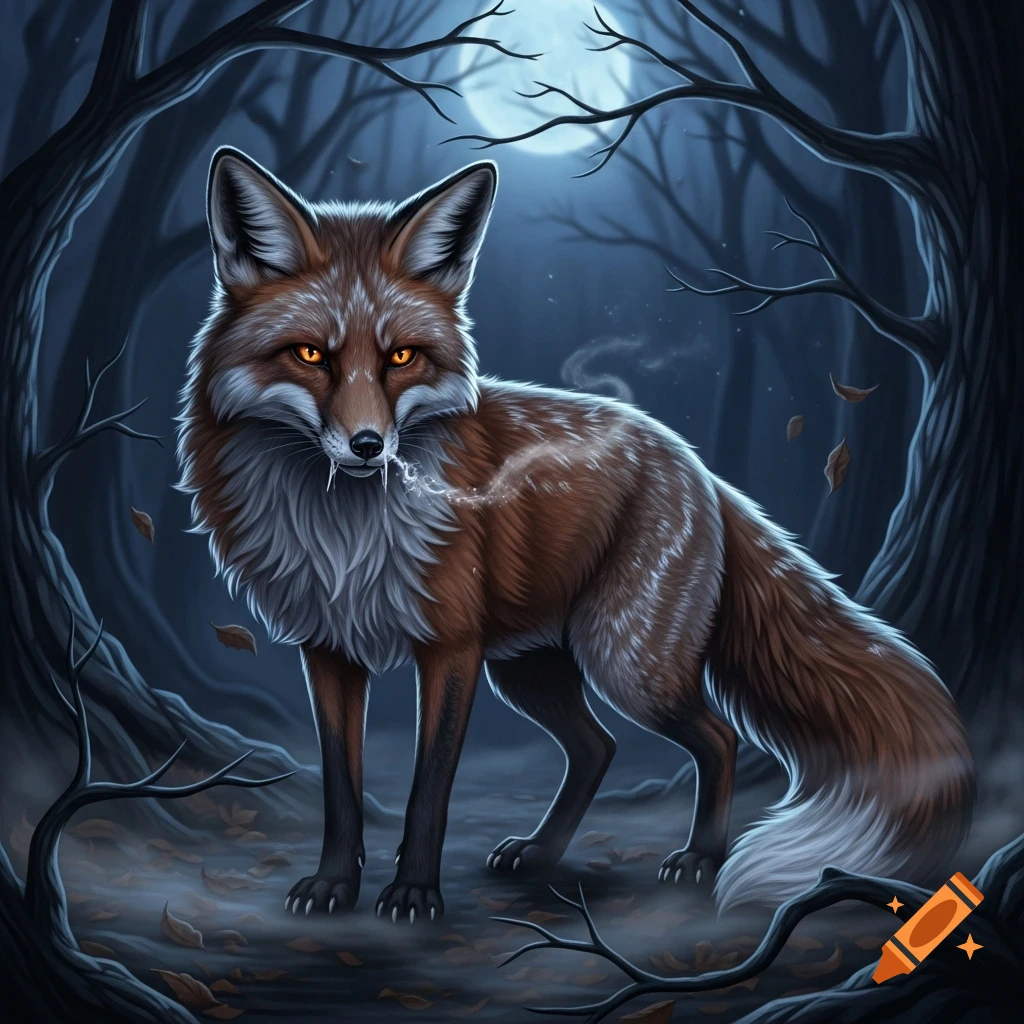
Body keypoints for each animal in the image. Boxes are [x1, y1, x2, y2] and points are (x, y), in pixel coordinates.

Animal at [177, 146, 974, 924]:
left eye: (401, 358)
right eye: (311, 355)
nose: (369, 446)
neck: (343, 536)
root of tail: (698, 468)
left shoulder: (453, 647)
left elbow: (429, 788)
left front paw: (414, 894)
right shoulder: (328, 648)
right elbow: (341, 787)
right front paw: (334, 884)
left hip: (625, 663)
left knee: (714, 737)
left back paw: (700, 859)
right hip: (531, 667)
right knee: (597, 748)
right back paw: (542, 854)